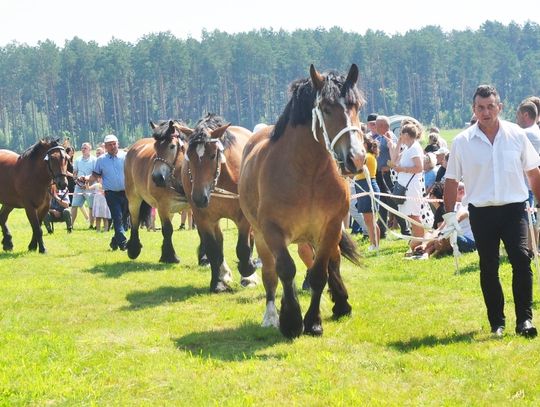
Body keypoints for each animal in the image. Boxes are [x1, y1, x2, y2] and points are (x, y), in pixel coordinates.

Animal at [125, 119, 194, 262]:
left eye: (172, 146)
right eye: (155, 146)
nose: (157, 177)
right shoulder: (162, 205)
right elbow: (167, 230)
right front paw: (170, 256)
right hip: (134, 198)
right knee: (134, 220)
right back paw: (134, 248)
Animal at [180, 113, 258, 294]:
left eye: (212, 155)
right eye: (189, 155)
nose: (199, 198)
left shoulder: (244, 217)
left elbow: (243, 248)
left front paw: (248, 270)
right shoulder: (203, 218)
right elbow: (213, 249)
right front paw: (218, 282)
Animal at [240, 63, 368, 338]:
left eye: (357, 106)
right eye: (326, 108)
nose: (356, 158)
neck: (308, 173)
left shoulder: (330, 227)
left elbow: (320, 272)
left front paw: (314, 321)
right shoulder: (272, 231)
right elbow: (285, 269)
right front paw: (290, 320)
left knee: (331, 262)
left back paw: (341, 303)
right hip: (261, 236)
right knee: (270, 273)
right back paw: (271, 315)